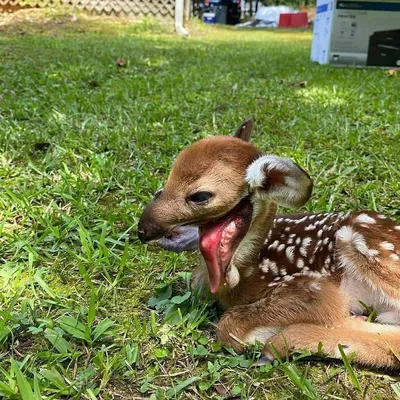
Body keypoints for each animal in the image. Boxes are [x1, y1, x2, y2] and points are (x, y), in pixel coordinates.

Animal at [138, 119, 400, 368]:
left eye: (200, 196)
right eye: (164, 185)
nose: (143, 229)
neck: (246, 274)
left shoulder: (312, 288)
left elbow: (229, 326)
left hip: (363, 243)